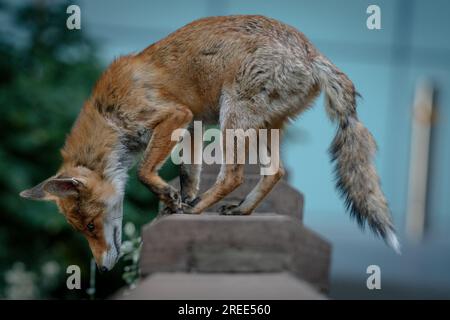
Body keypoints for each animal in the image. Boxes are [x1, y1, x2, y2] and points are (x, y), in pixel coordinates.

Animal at [18, 14, 400, 270]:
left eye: (90, 226)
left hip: (235, 117)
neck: (108, 113)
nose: (102, 267)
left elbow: (143, 172)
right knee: (274, 173)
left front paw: (175, 200)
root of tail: (312, 53)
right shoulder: (194, 126)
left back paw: (199, 210)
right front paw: (175, 200)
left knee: (232, 175)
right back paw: (240, 210)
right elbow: (188, 174)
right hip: (262, 128)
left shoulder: (175, 115)